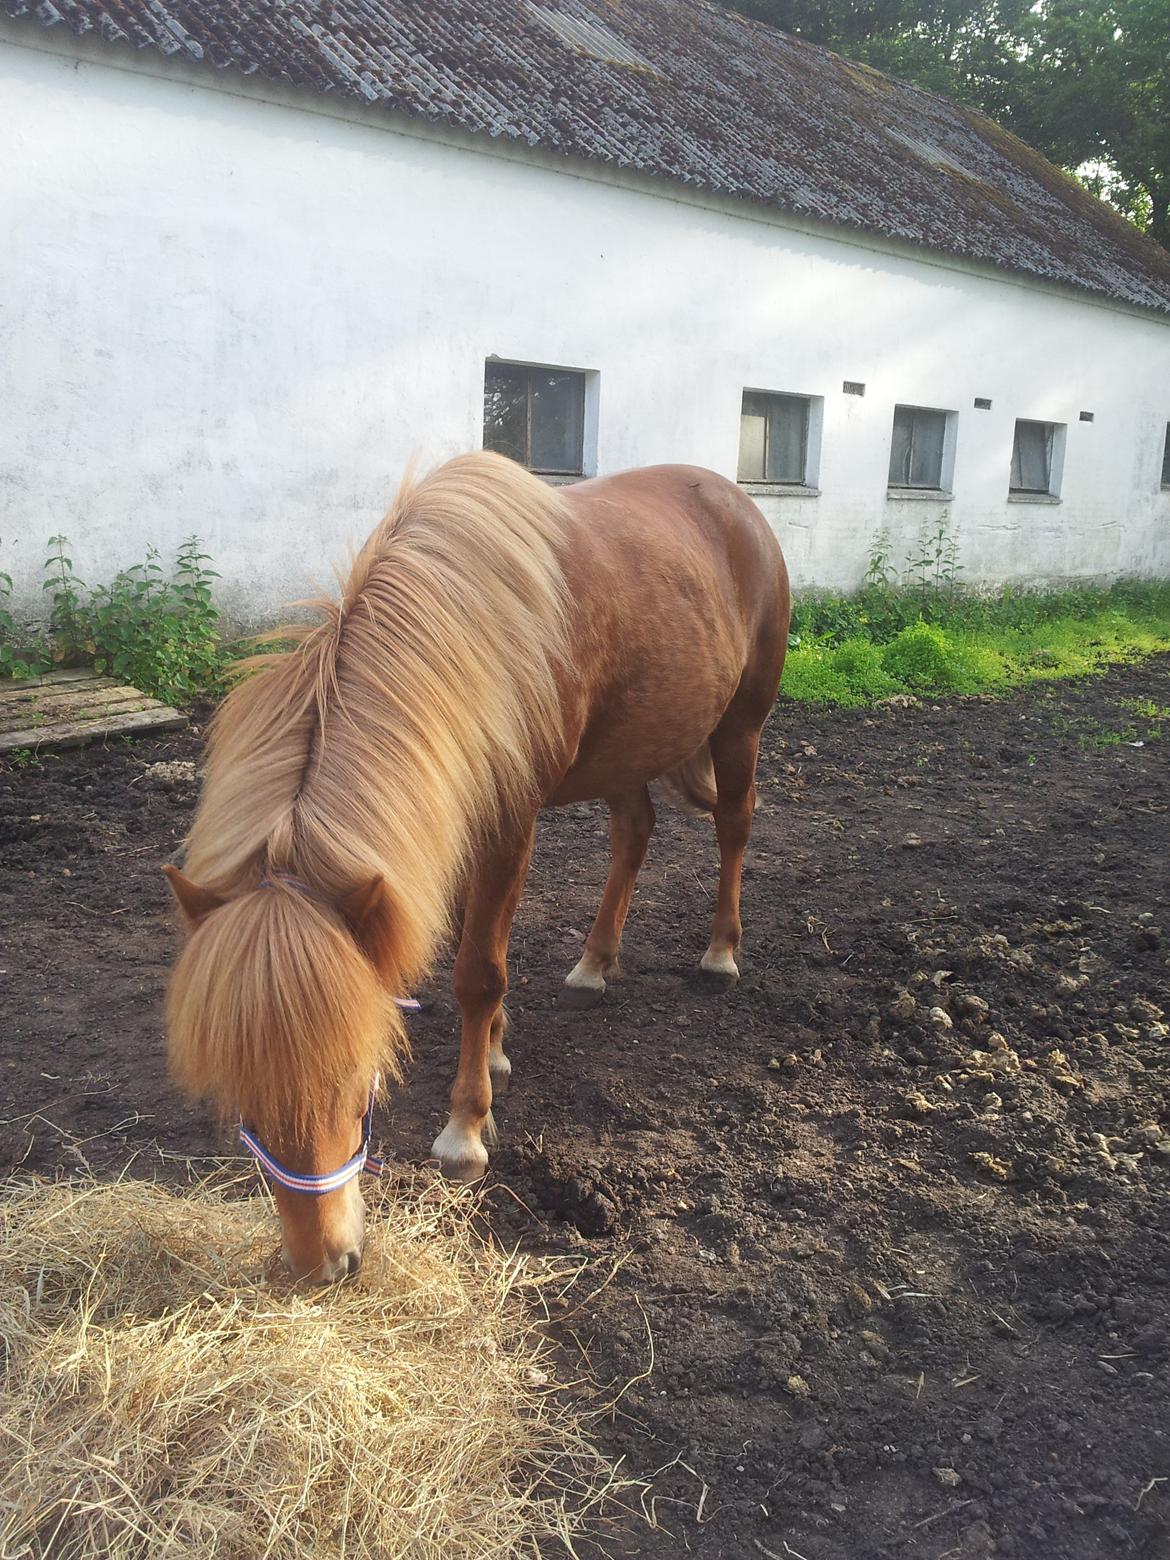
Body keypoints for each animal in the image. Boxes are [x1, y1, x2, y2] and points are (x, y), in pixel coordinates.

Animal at [166, 452, 789, 1279]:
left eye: (354, 1073)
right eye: (241, 1094)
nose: (322, 1264)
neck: (464, 636)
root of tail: (734, 501)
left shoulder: (508, 821)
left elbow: (477, 971)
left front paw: (464, 1131)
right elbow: (477, 947)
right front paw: (494, 1054)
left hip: (741, 725)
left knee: (733, 828)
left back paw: (720, 952)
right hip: (631, 746)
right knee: (634, 834)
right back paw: (594, 963)